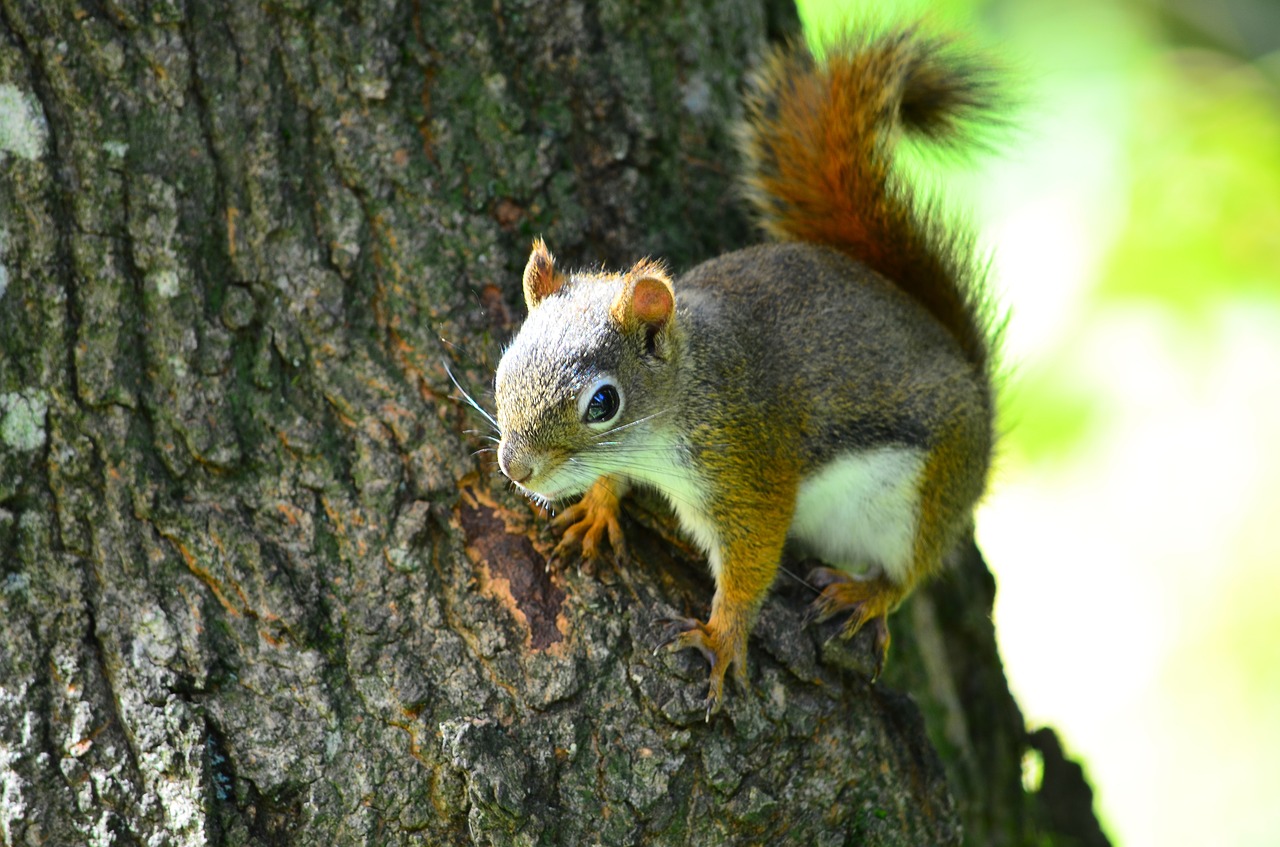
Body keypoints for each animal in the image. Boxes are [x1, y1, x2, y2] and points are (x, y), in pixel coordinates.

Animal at [488, 24, 998, 716]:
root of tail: (974, 386)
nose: (517, 469)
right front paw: (597, 505)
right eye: (504, 367)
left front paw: (721, 637)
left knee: (912, 567)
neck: (687, 391)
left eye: (602, 403)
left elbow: (751, 562)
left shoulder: (748, 463)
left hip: (931, 490)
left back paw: (866, 594)